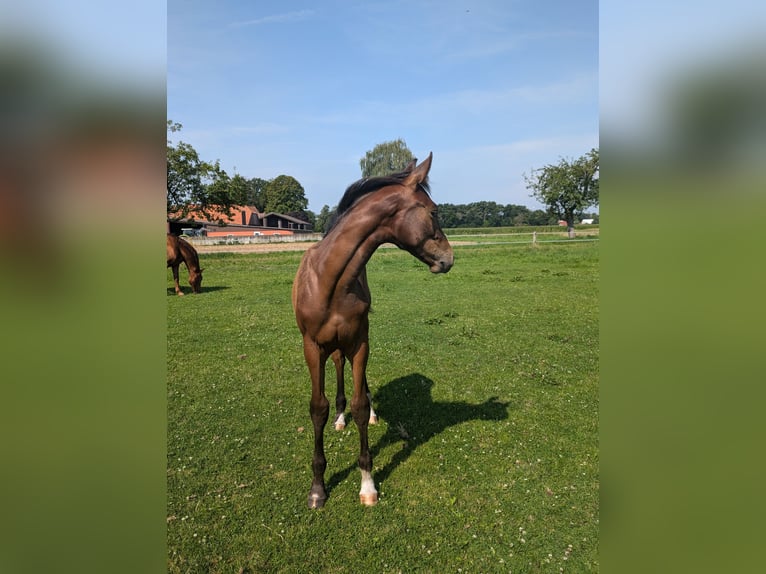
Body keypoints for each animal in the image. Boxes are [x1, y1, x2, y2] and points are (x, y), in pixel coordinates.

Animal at [292, 154, 452, 508]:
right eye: (433, 211)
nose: (449, 258)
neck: (330, 281)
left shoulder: (360, 342)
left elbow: (360, 406)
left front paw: (367, 483)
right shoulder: (312, 347)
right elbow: (318, 408)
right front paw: (317, 488)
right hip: (331, 347)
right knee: (338, 367)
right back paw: (339, 419)